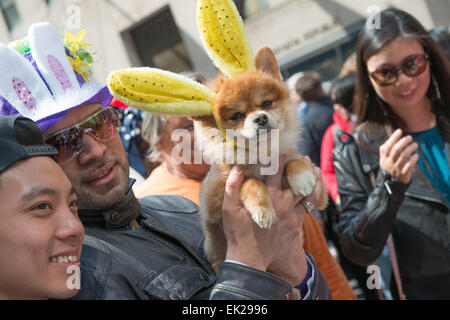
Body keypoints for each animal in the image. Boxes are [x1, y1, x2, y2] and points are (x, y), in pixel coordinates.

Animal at [193, 47, 326, 272]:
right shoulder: (213, 200)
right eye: (237, 116)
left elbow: (294, 160)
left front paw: (301, 177)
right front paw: (262, 208)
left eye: (266, 103)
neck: (262, 154)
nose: (261, 117)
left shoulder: (322, 192)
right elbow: (251, 181)